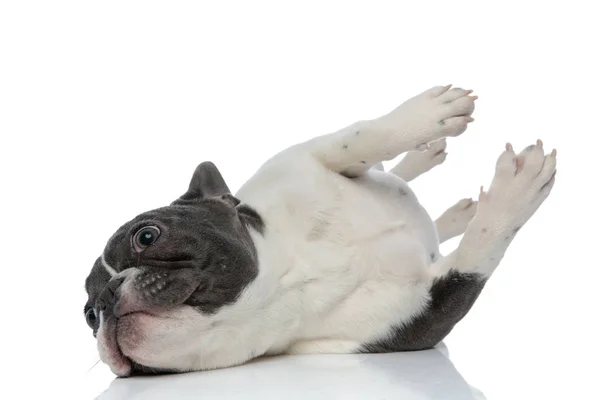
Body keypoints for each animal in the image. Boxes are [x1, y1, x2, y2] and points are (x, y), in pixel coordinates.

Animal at [84, 86, 556, 376]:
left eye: (147, 236)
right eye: (88, 317)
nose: (105, 299)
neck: (284, 277)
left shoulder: (305, 156)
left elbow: (360, 138)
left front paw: (431, 117)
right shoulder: (425, 317)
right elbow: (475, 260)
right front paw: (514, 193)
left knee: (386, 167)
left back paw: (426, 154)